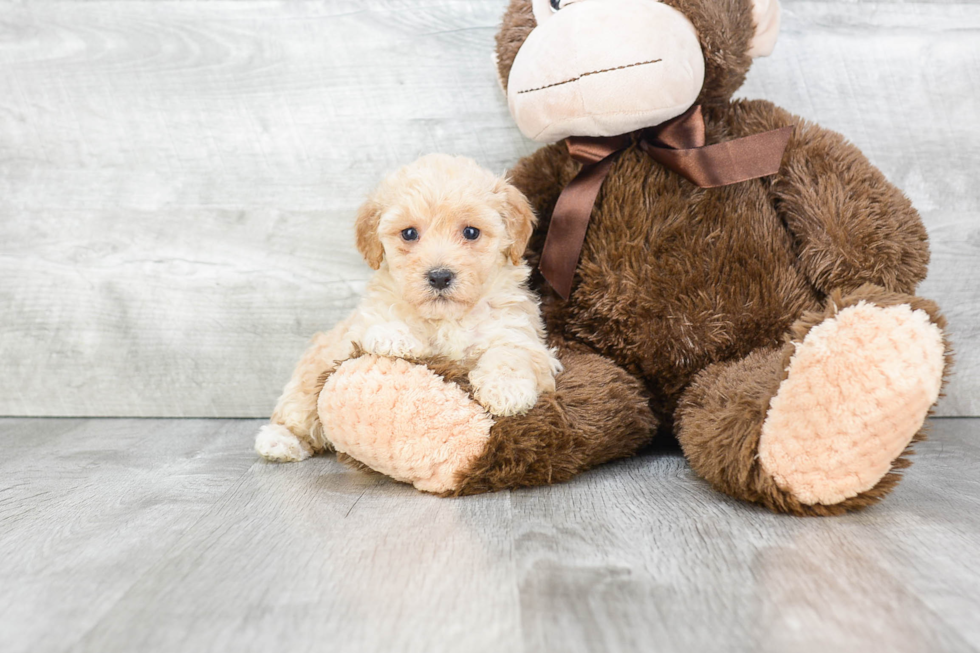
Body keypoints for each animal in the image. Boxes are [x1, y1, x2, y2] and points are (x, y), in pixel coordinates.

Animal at [256, 152, 564, 464]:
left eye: (471, 232)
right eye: (409, 233)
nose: (439, 276)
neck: (447, 318)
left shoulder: (519, 333)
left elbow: (511, 354)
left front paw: (506, 390)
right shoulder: (359, 325)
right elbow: (376, 320)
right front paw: (396, 337)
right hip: (310, 378)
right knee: (296, 410)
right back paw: (279, 441)